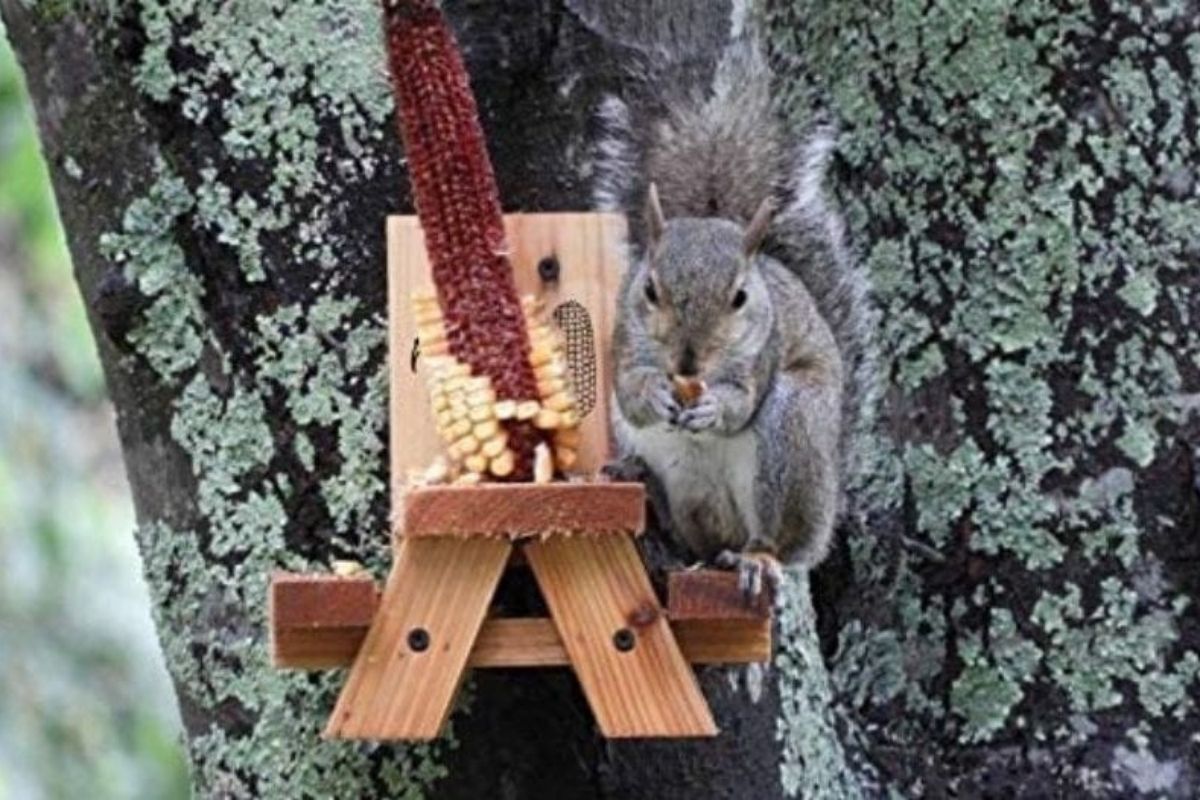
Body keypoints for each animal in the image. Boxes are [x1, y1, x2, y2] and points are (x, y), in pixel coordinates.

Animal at [597, 38, 873, 598]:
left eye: (741, 297)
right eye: (649, 288)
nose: (686, 362)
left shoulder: (763, 355)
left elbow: (740, 403)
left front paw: (712, 408)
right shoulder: (623, 339)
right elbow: (630, 391)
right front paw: (654, 394)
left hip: (793, 431)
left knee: (773, 539)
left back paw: (756, 559)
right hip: (687, 483)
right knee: (698, 540)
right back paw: (647, 490)